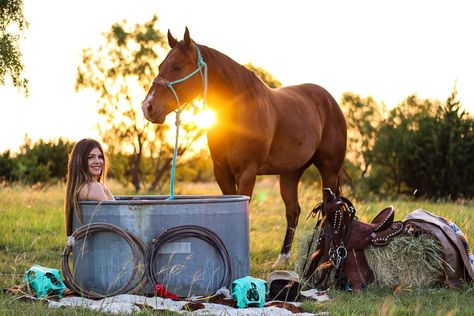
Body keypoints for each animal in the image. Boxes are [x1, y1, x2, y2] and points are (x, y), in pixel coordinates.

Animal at [141, 28, 348, 268]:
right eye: (160, 66)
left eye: (177, 66)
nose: (148, 107)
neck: (240, 113)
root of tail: (329, 100)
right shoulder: (221, 172)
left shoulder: (247, 173)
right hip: (290, 173)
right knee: (293, 211)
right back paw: (282, 259)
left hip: (329, 170)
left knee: (329, 210)